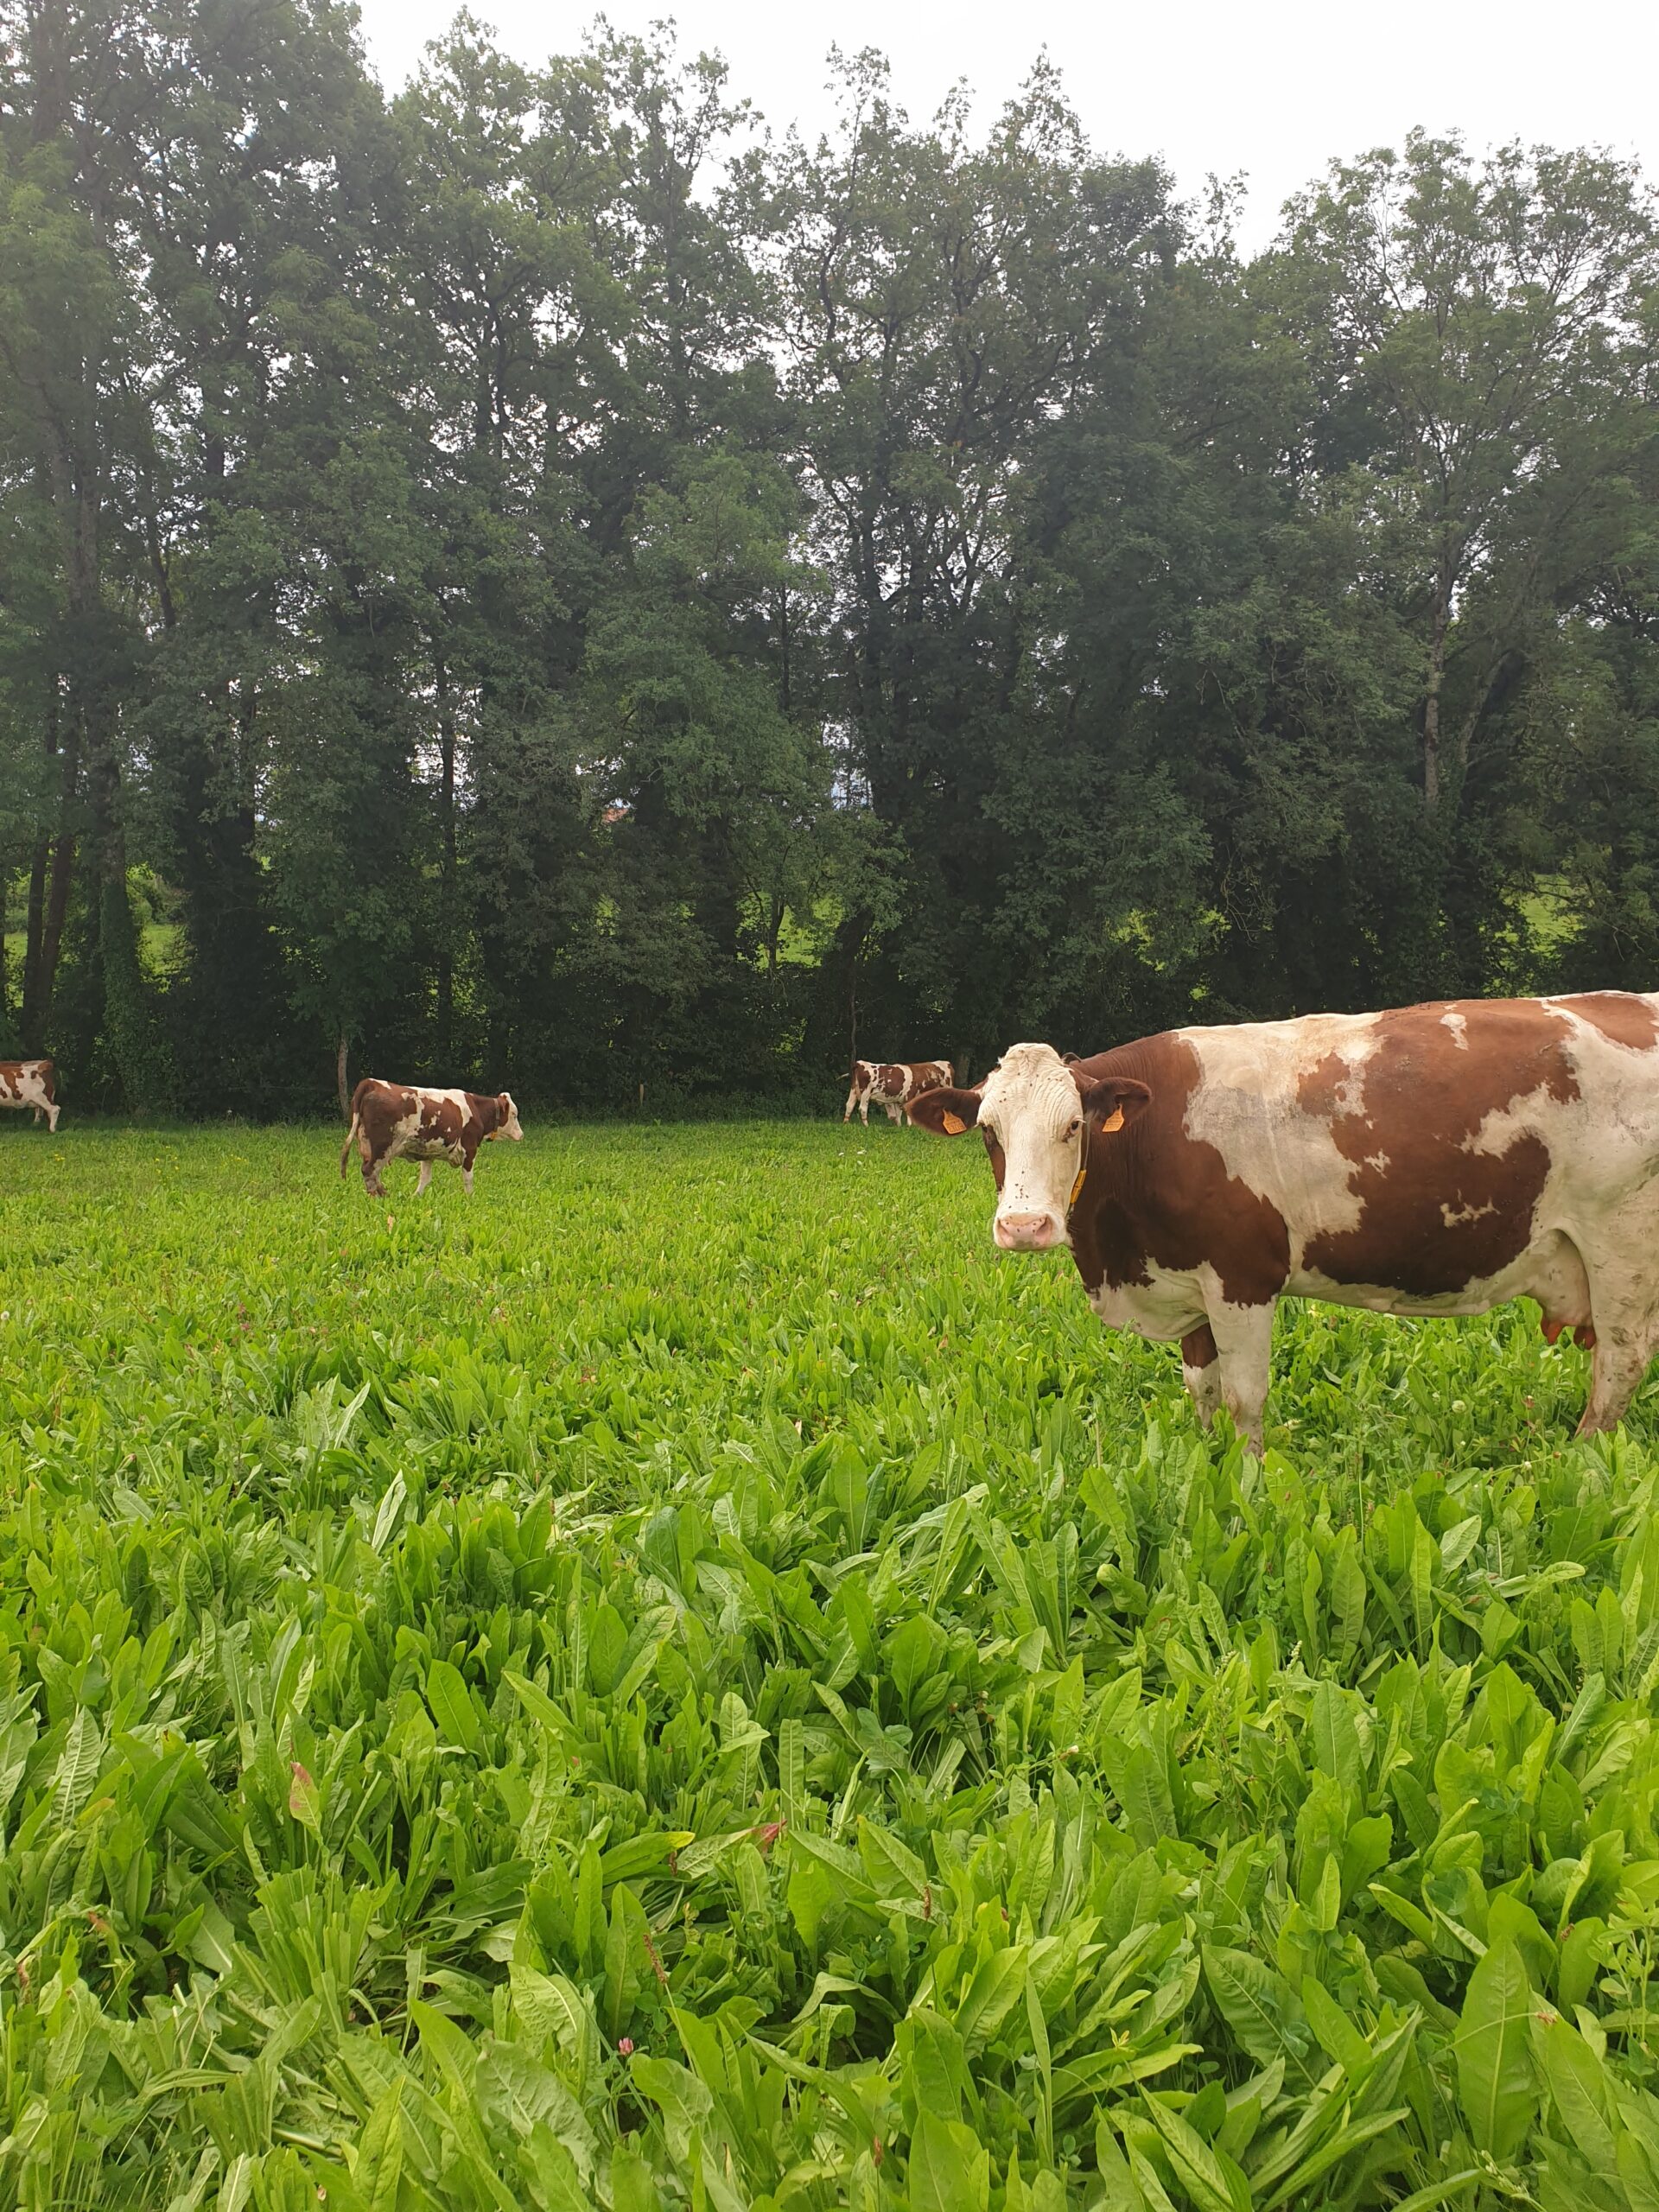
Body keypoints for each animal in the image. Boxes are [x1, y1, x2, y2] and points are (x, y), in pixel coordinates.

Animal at [341, 1079, 523, 1197]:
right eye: (514, 1115)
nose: (521, 1135)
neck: (475, 1109)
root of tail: (372, 1082)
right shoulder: (469, 1149)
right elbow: (468, 1178)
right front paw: (470, 1198)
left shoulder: (428, 1153)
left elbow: (425, 1178)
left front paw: (416, 1197)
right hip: (383, 1146)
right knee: (369, 1170)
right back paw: (376, 1199)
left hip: (369, 1146)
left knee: (372, 1171)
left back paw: (384, 1194)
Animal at [843, 1059, 954, 1127]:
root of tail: (859, 1063)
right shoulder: (909, 1095)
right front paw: (910, 1125)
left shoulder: (899, 1099)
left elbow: (898, 1113)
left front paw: (899, 1126)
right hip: (865, 1093)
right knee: (862, 1108)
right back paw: (866, 1125)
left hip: (853, 1091)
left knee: (849, 1105)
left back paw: (845, 1123)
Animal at [907, 994, 1659, 1452]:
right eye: (988, 1131)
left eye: (1072, 1127)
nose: (1024, 1226)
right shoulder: (1190, 1278)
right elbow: (1202, 1386)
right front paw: (1204, 1459)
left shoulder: (1243, 1276)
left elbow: (1245, 1397)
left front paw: (1246, 1485)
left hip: (1622, 1251)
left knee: (1620, 1363)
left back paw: (1582, 1456)